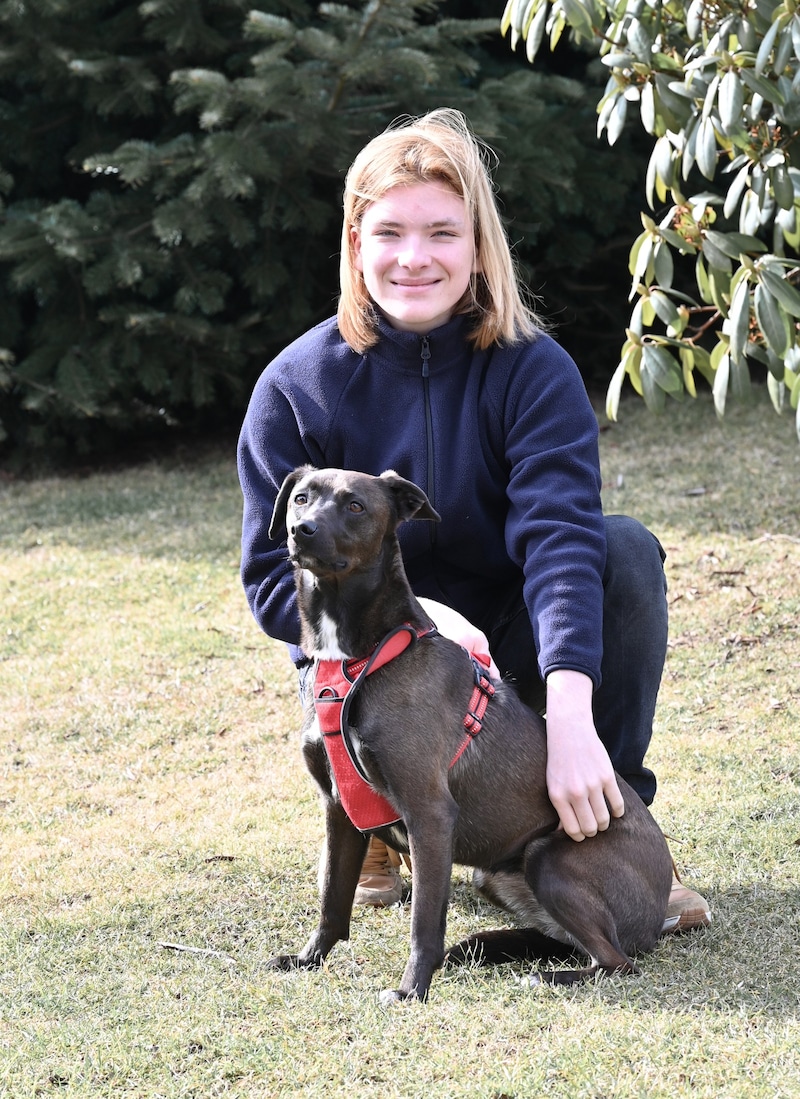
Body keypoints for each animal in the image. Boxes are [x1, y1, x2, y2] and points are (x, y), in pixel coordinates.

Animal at [265, 465, 672, 1006]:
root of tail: (658, 911)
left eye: (355, 506)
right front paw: (308, 960)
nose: (301, 531)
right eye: (301, 498)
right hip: (498, 875)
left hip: (551, 859)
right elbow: (332, 899)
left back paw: (545, 976)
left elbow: (423, 924)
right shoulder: (338, 807)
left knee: (617, 962)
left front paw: (411, 991)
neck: (357, 659)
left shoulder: (430, 814)